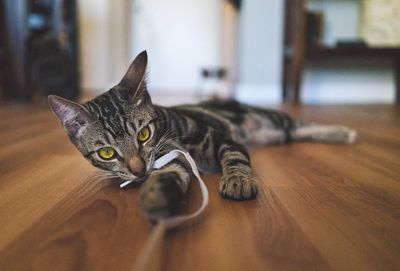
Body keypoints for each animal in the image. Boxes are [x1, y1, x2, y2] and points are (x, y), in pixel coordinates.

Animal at [48, 51, 358, 221]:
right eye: (107, 152)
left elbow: (235, 158)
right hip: (274, 135)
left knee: (297, 125)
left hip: (273, 120)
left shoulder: (222, 140)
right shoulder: (175, 162)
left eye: (144, 134)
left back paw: (343, 132)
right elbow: (170, 177)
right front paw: (156, 197)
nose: (138, 170)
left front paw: (237, 181)